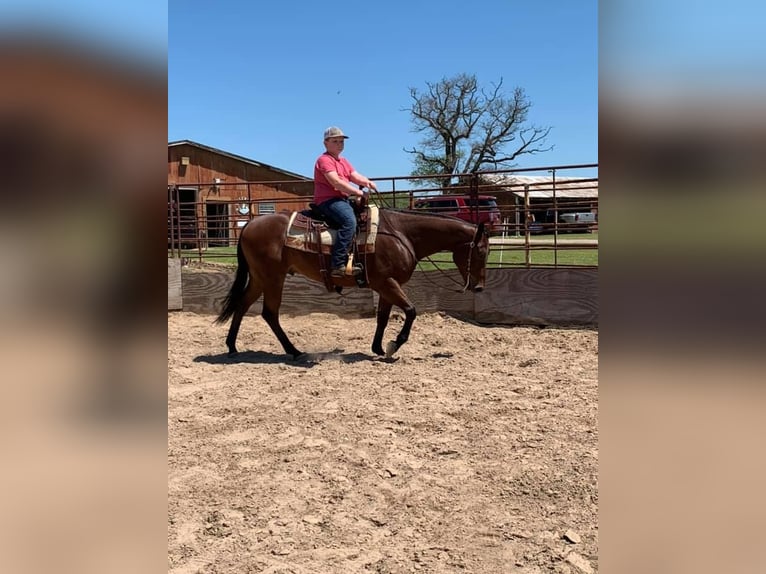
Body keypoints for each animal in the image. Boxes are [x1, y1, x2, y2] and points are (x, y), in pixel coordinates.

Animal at [216, 207, 492, 360]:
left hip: (260, 278)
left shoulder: (385, 286)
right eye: (481, 251)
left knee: (242, 305)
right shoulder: (387, 282)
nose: (479, 287)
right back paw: (293, 351)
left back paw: (232, 346)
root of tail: (250, 224)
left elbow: (383, 318)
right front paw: (393, 345)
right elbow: (411, 311)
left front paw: (378, 347)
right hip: (273, 278)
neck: (400, 234)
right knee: (270, 313)